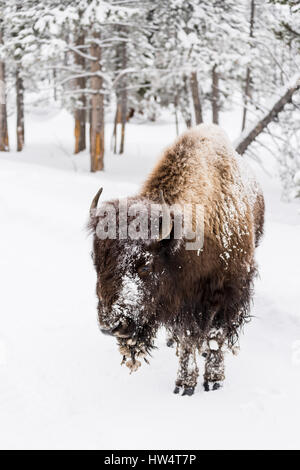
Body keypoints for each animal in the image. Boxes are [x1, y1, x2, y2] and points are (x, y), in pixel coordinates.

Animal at [88, 123, 264, 394]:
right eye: (96, 262)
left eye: (145, 267)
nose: (111, 325)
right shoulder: (183, 303)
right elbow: (187, 339)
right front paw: (185, 384)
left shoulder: (228, 294)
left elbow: (215, 337)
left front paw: (214, 380)